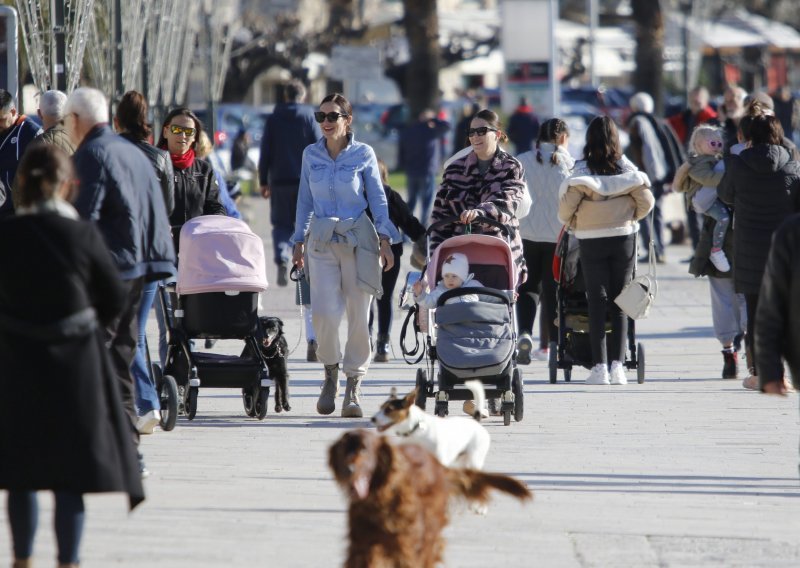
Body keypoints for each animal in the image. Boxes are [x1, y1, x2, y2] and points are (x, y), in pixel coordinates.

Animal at [324, 428, 532, 564]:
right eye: (343, 449)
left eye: (365, 449)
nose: (349, 470)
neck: (379, 499)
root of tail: (439, 466)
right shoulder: (362, 545)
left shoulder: (407, 543)